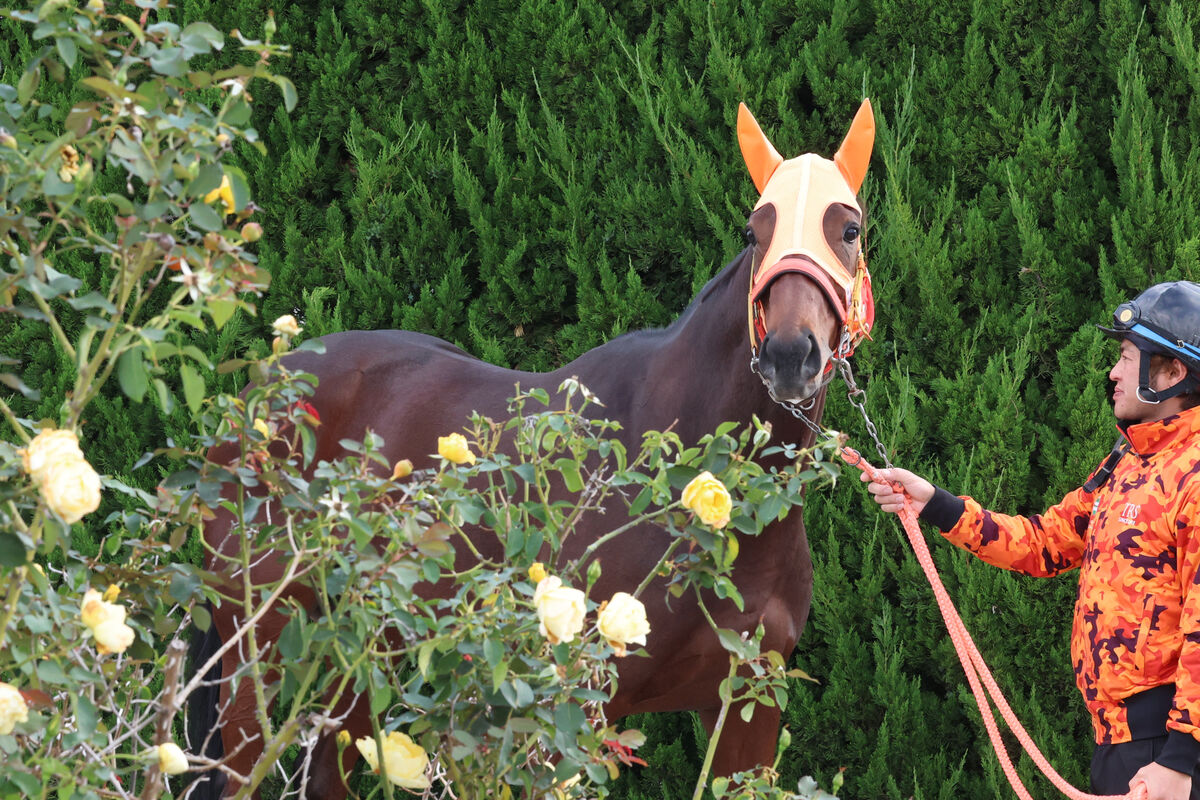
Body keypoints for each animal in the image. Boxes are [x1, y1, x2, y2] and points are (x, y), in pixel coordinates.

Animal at [192, 97, 878, 796]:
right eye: (753, 232)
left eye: (849, 229)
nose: (790, 356)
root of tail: (260, 393)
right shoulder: (575, 709)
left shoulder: (750, 711)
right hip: (257, 650)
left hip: (359, 655)